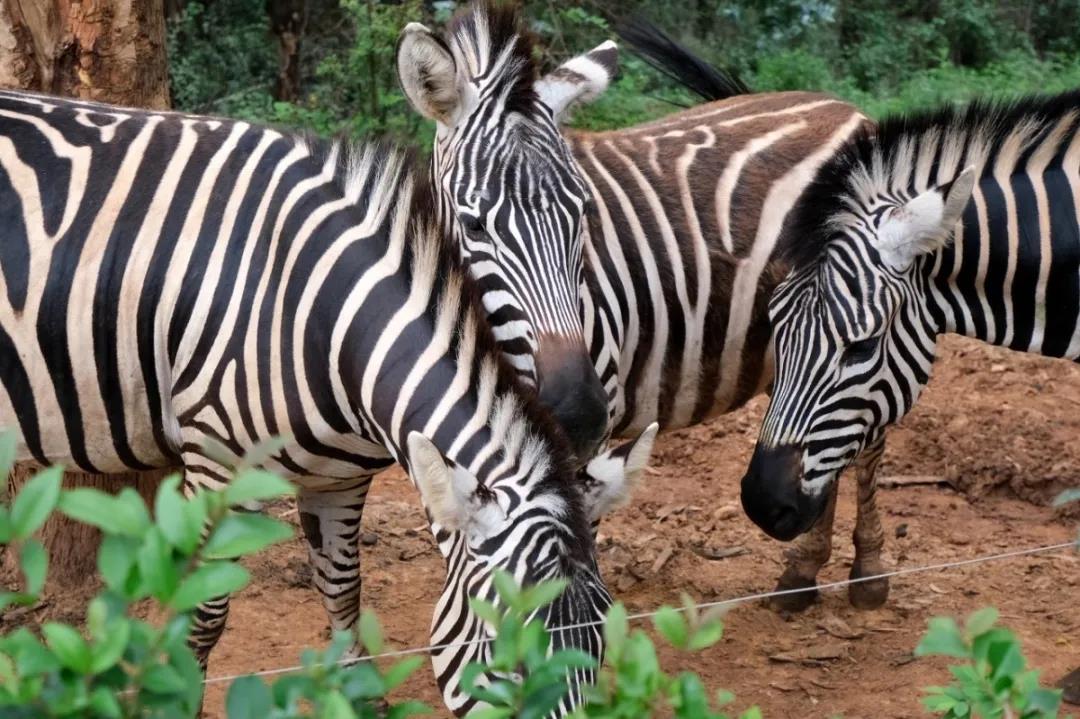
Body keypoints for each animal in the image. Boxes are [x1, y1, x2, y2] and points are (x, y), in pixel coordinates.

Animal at [0, 87, 660, 712]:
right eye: (507, 666)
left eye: (599, 651)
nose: (582, 416)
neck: (314, 311)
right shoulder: (215, 467)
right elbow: (203, 615)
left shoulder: (339, 477)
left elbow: (342, 591)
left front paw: (360, 698)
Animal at [397, 12, 876, 604]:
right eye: (474, 225)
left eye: (583, 214)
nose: (580, 410)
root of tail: (841, 105)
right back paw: (802, 574)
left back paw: (867, 573)